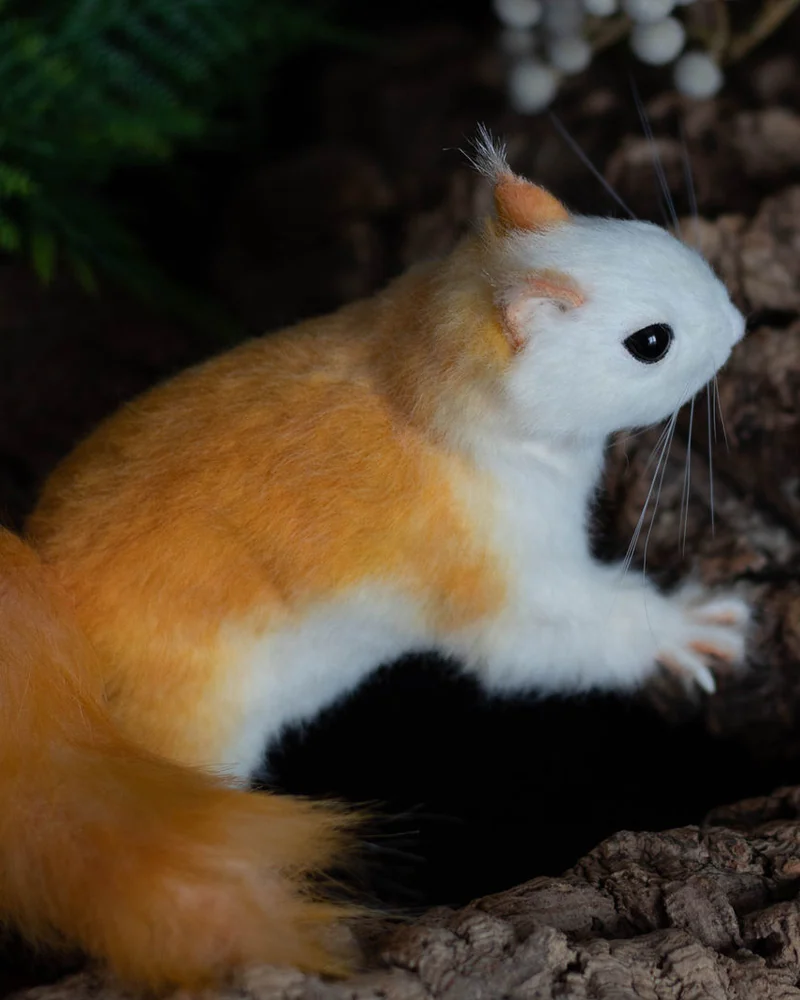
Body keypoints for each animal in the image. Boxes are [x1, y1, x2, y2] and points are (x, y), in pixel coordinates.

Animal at [0, 133, 750, 990]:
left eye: (657, 236)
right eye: (650, 343)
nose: (738, 324)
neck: (420, 381)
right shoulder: (500, 576)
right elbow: (567, 634)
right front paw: (695, 628)